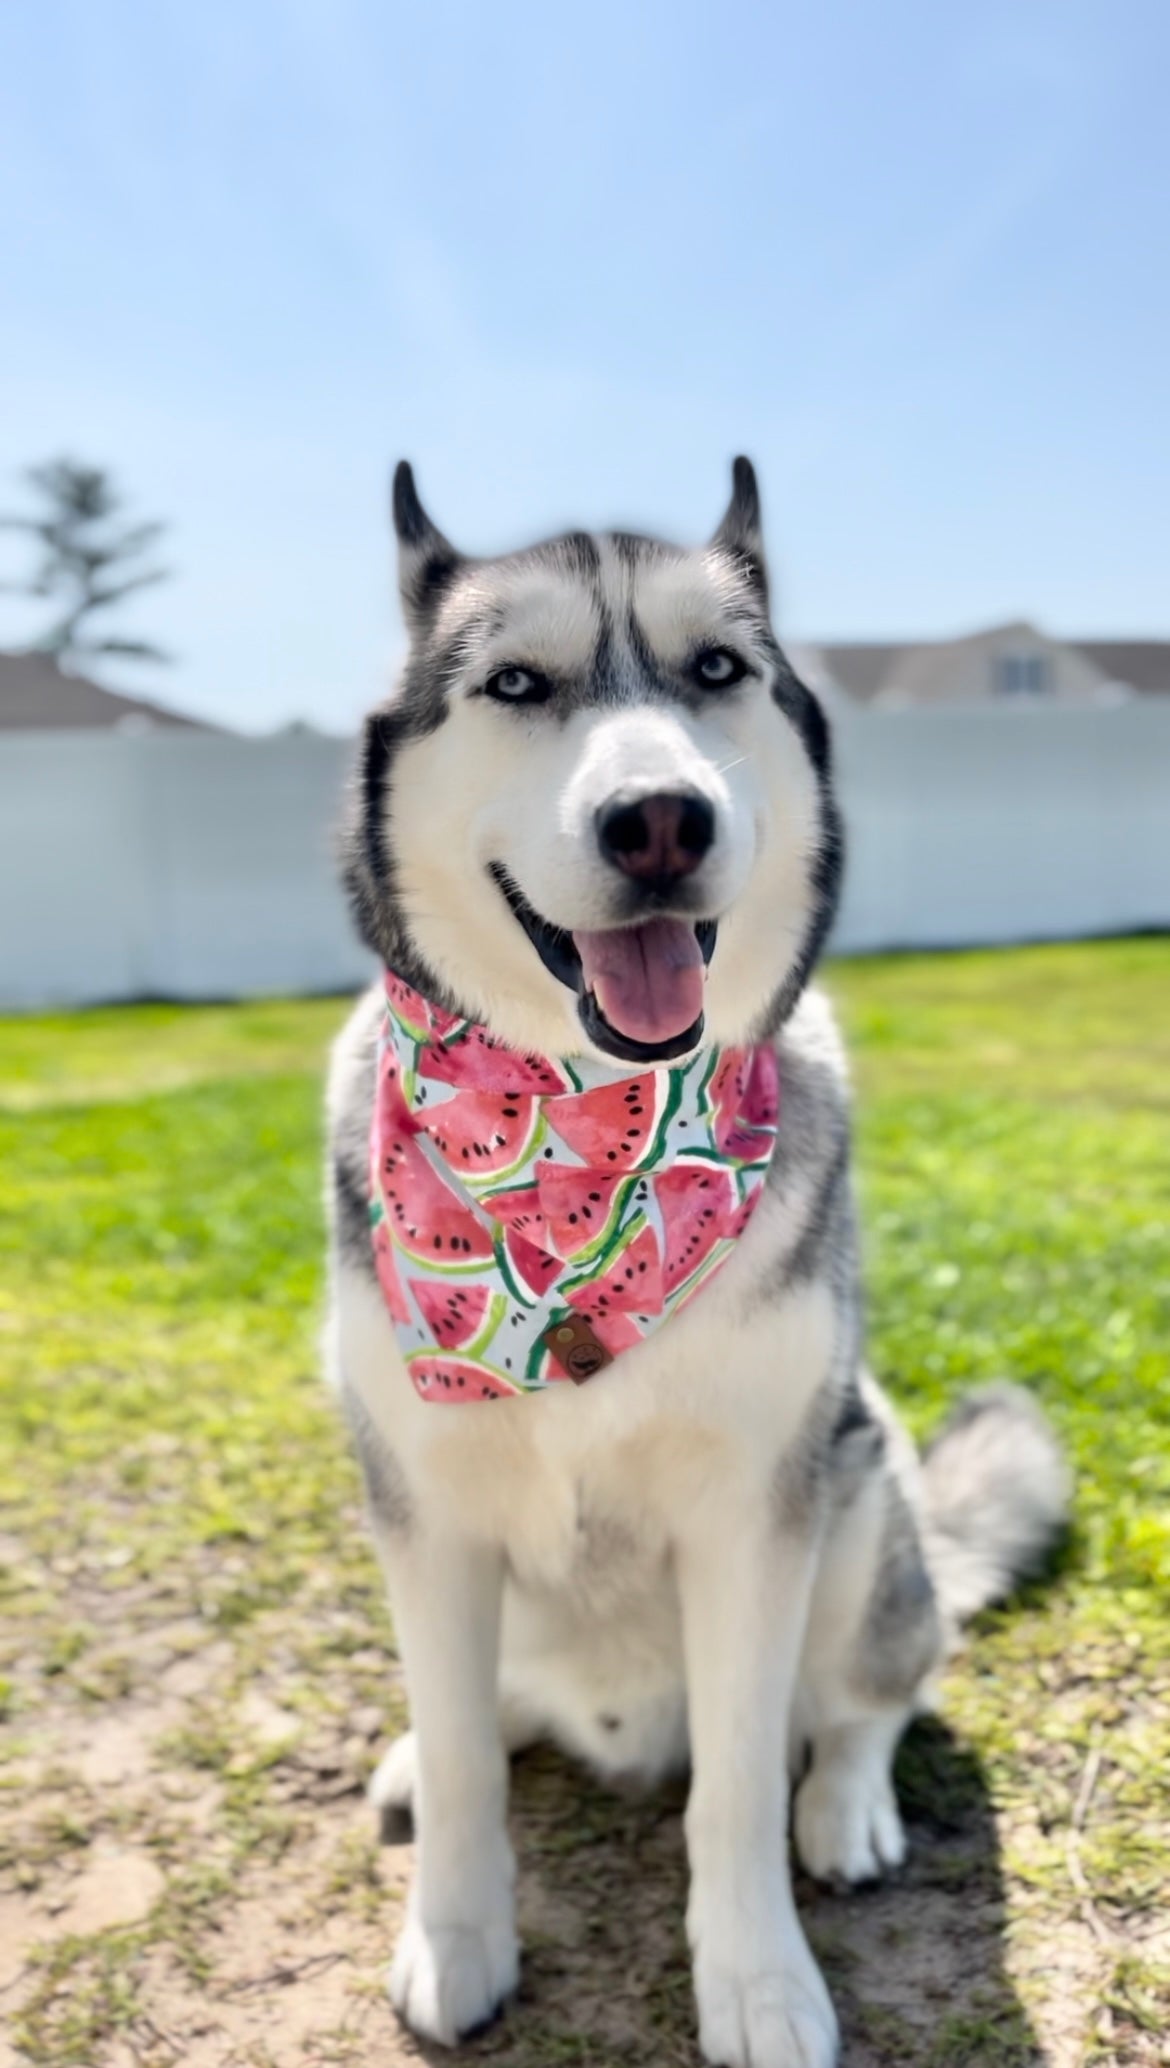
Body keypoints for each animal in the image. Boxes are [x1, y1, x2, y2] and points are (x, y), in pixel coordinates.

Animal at [322, 469, 1074, 2068]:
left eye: (716, 669)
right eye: (517, 684)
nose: (659, 819)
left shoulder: (752, 1517)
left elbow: (731, 1787)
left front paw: (758, 1986)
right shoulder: (422, 1504)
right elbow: (472, 1768)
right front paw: (456, 1941)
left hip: (859, 1477)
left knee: (871, 1693)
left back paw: (845, 1807)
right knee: (485, 1715)